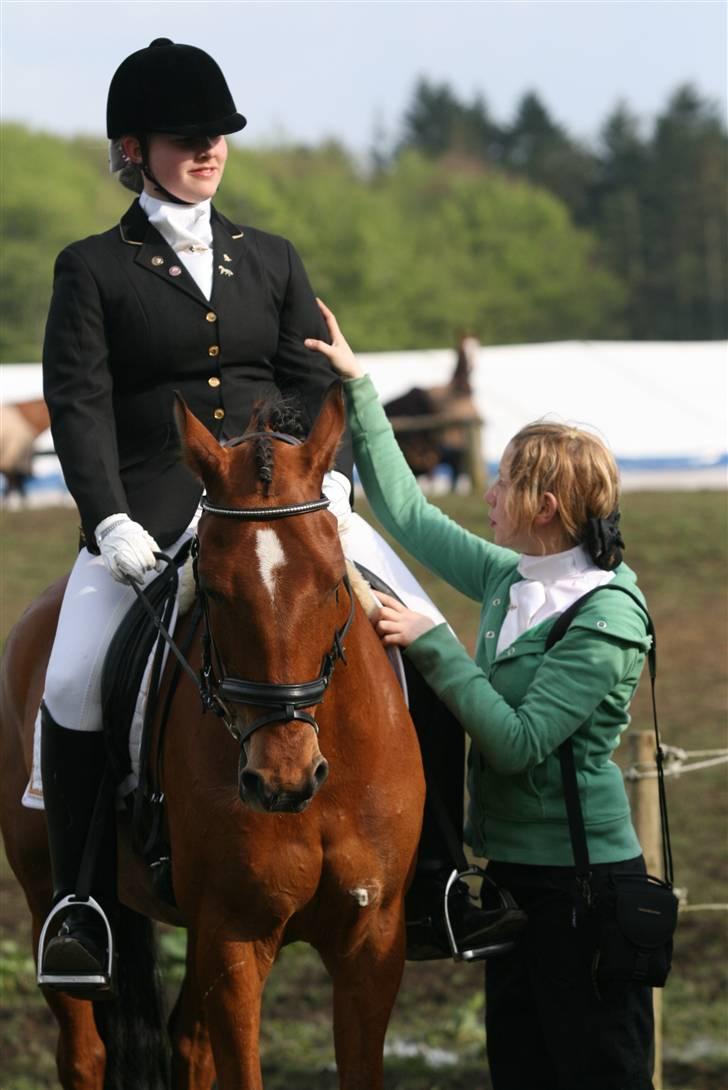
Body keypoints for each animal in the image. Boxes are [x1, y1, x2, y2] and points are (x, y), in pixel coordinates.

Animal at [0, 390, 427, 1090]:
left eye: (333, 581)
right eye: (219, 594)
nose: (282, 781)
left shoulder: (372, 943)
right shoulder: (234, 935)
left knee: (188, 1044)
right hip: (45, 893)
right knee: (84, 1053)